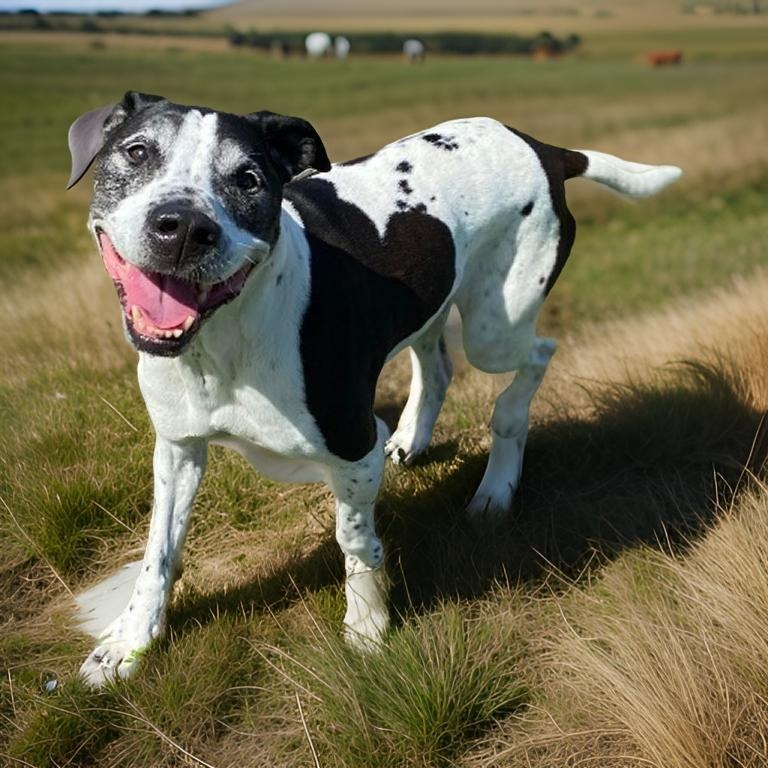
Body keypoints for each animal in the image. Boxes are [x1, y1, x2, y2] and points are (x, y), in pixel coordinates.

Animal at [64, 90, 680, 684]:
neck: (222, 340)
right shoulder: (177, 447)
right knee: (438, 367)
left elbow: (355, 539)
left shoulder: (354, 449)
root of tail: (544, 149)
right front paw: (129, 643)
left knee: (534, 360)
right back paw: (411, 439)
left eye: (248, 179)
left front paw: (367, 627)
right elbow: (159, 552)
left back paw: (497, 482)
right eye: (137, 152)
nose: (184, 228)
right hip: (430, 305)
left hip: (494, 330)